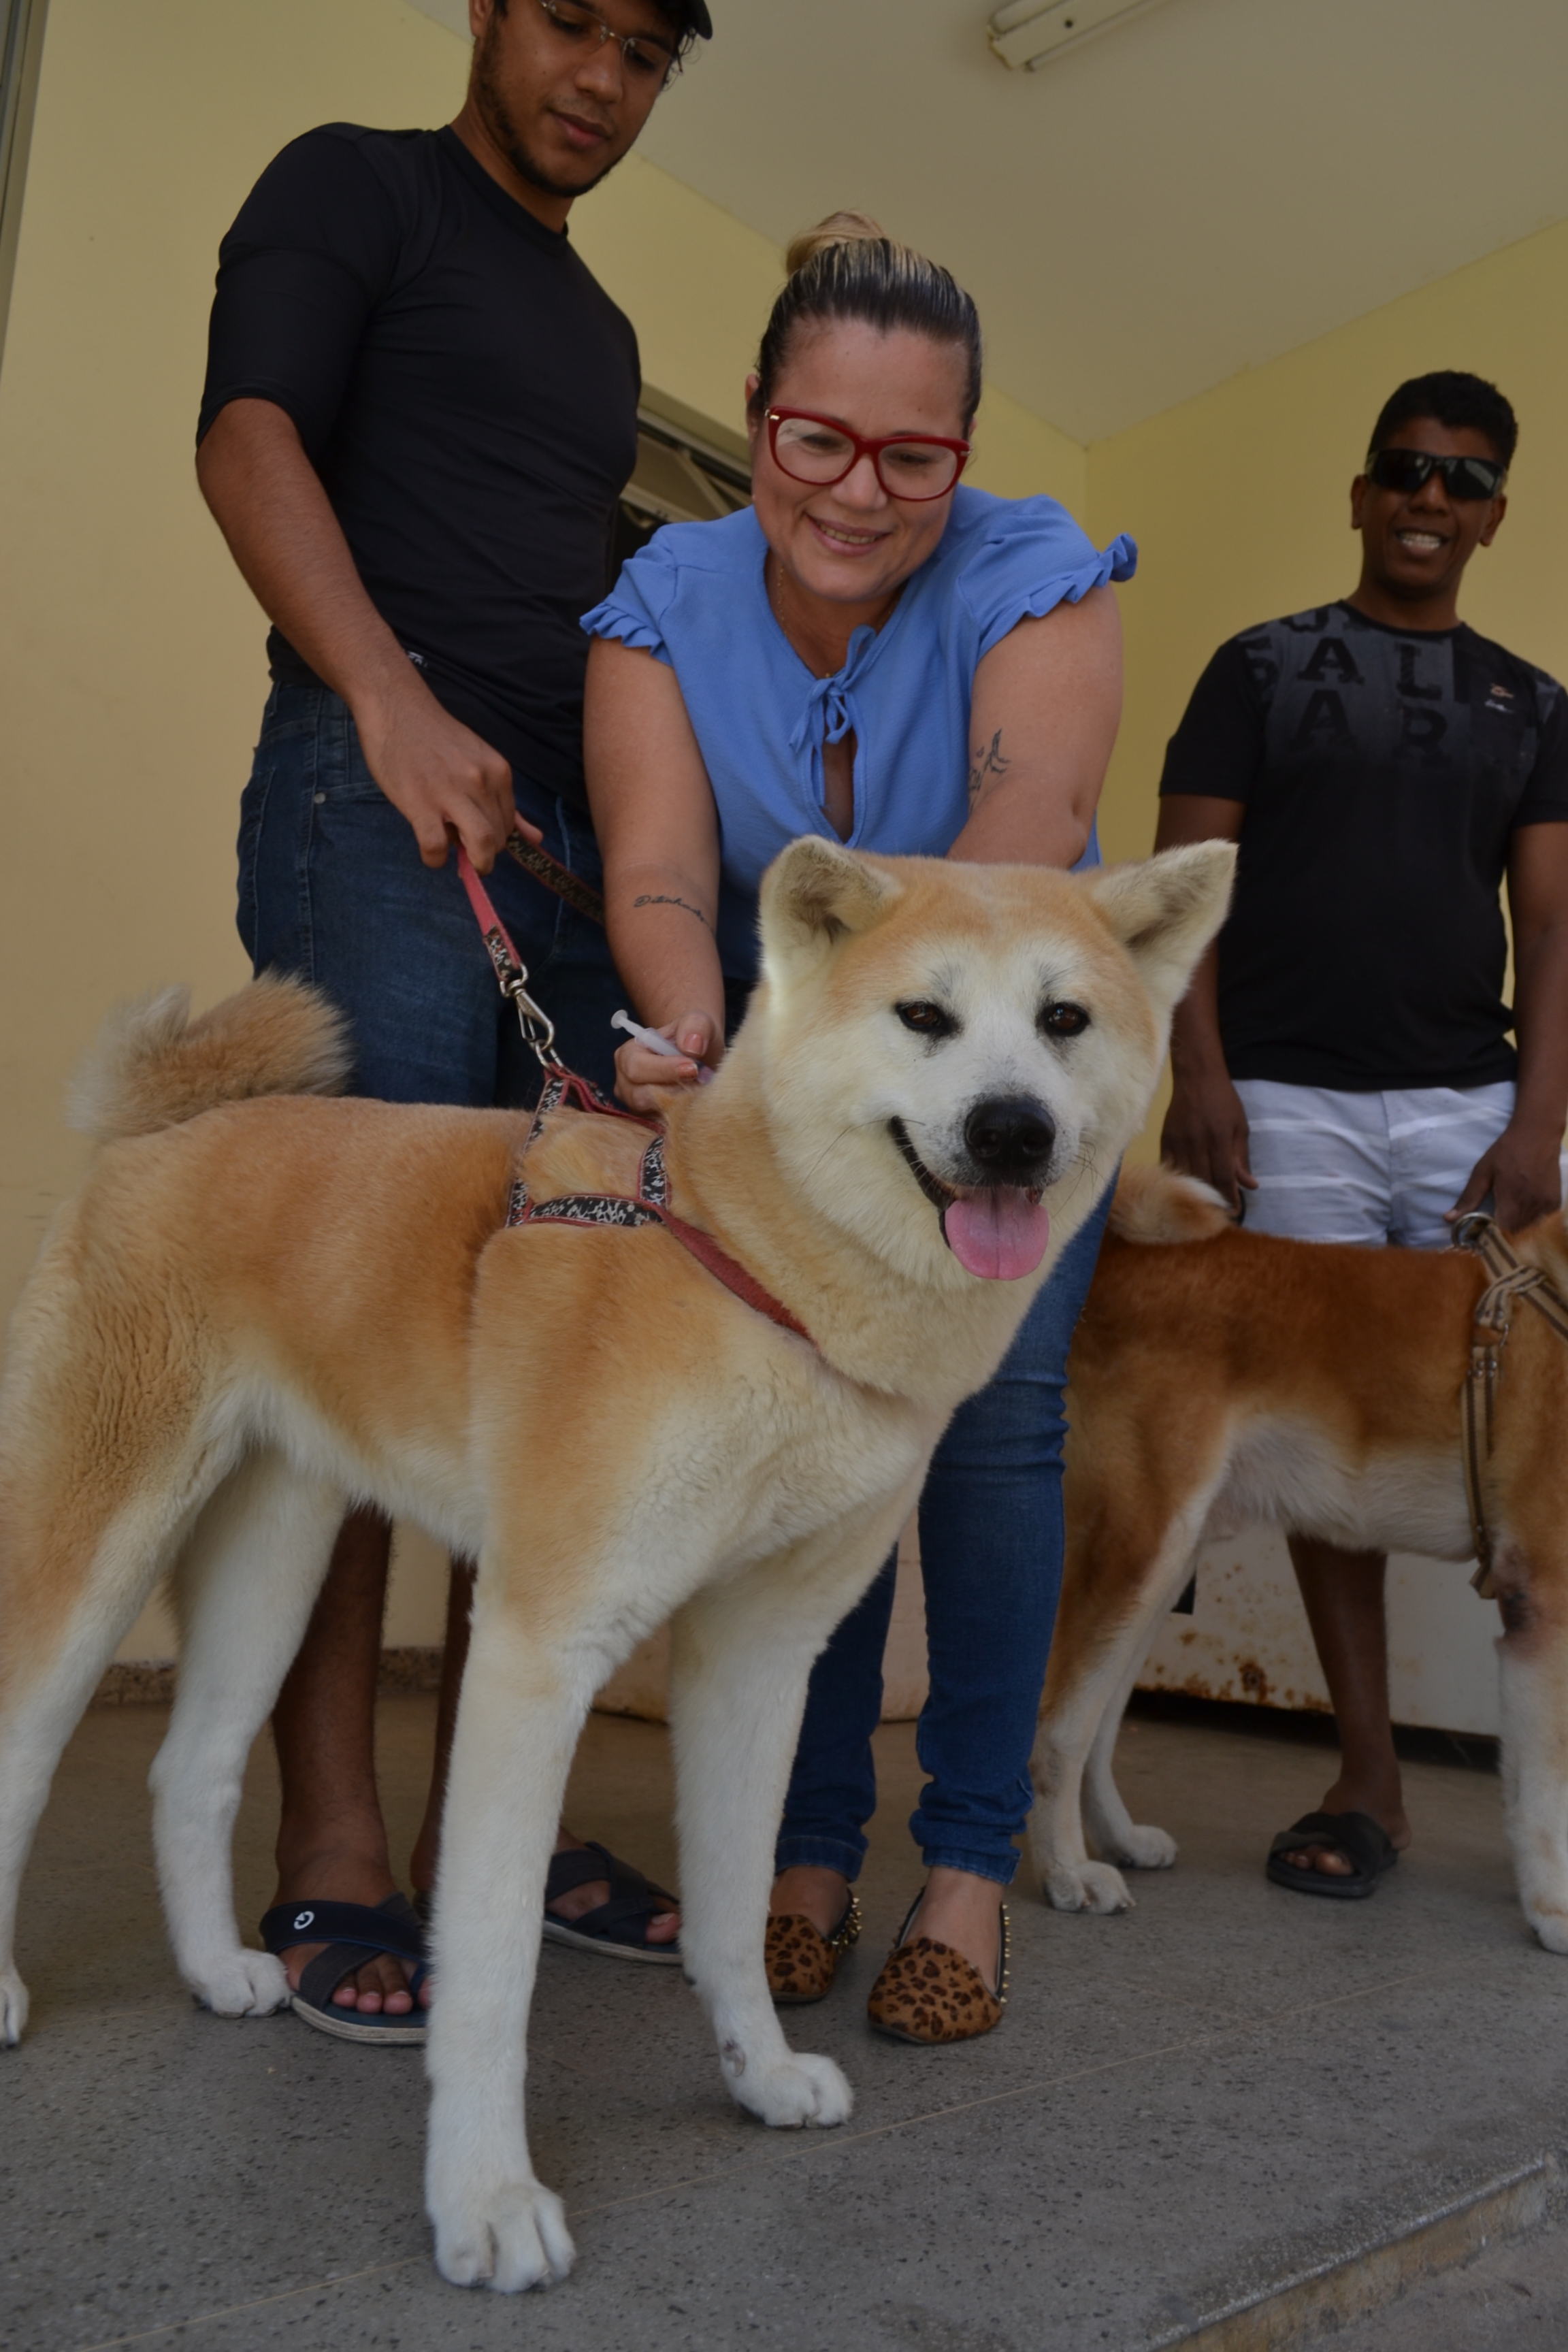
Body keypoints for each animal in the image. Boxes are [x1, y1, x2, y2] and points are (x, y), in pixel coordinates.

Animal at [0, 837, 1232, 2286]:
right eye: (923, 1016)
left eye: (1063, 1022)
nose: (1010, 1131)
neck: (746, 1264)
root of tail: (162, 1129)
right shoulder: (539, 1651)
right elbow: (489, 1974)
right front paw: (485, 2200)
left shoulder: (758, 1658)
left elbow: (732, 1908)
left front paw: (758, 2074)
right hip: (95, 1540)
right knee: (26, 1748)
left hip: (277, 1547)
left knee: (188, 1771)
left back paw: (214, 1971)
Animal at [1029, 1166, 1568, 1957]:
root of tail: (1126, 1256)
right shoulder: (1545, 1610)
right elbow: (1545, 1795)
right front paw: (1554, 1911)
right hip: (1136, 1543)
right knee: (1059, 1730)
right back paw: (1066, 1873)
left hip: (1165, 1561)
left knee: (1097, 1729)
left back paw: (1120, 1841)